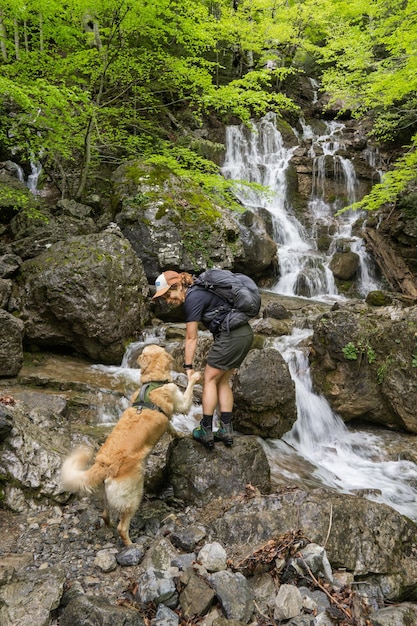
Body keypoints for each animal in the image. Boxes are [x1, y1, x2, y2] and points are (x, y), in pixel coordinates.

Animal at [59, 344, 200, 544]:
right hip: (134, 493)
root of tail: (103, 465)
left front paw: (178, 433)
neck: (154, 380)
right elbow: (186, 397)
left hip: (105, 494)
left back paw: (109, 524)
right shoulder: (178, 399)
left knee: (105, 514)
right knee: (122, 526)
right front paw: (194, 376)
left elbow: (170, 426)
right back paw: (131, 544)